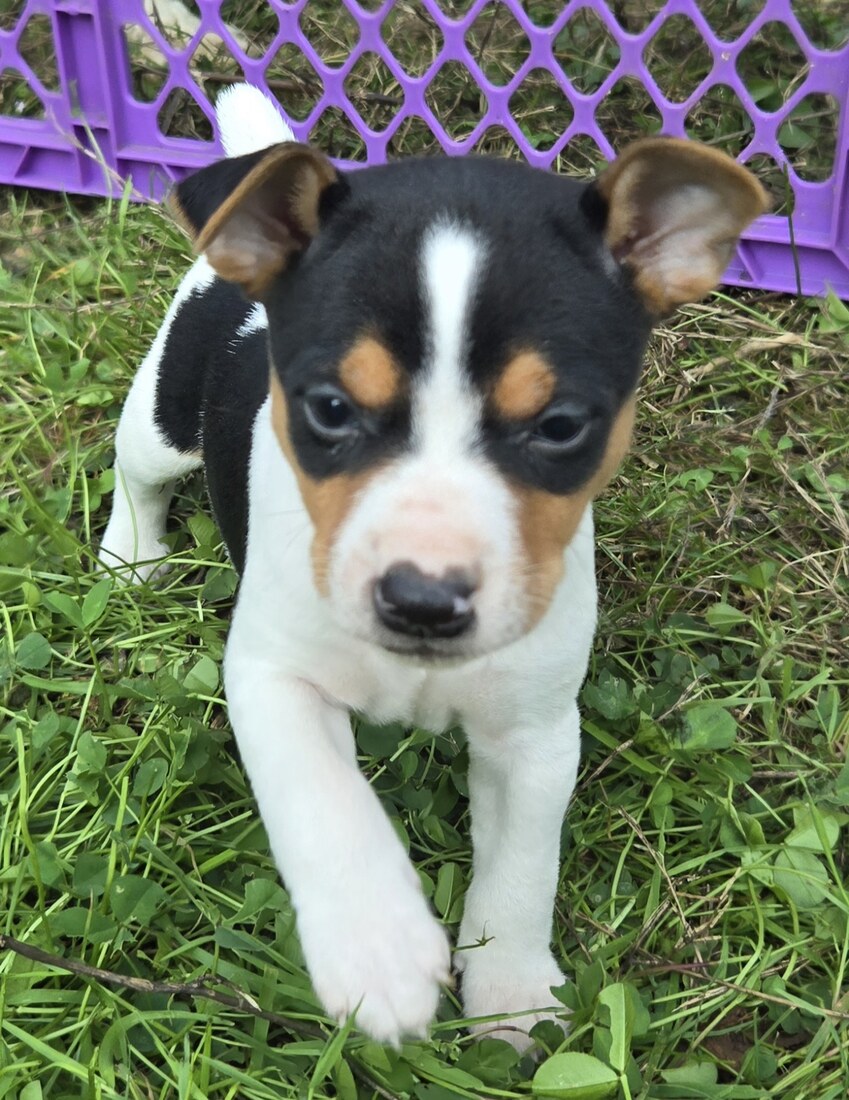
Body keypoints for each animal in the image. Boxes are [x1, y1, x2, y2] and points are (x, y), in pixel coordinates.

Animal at [99, 84, 767, 1049]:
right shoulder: (272, 677)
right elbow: (324, 800)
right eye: (329, 408)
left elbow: (522, 868)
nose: (420, 601)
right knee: (135, 471)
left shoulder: (535, 734)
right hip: (163, 412)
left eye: (560, 426)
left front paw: (510, 990)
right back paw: (129, 553)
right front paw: (374, 948)